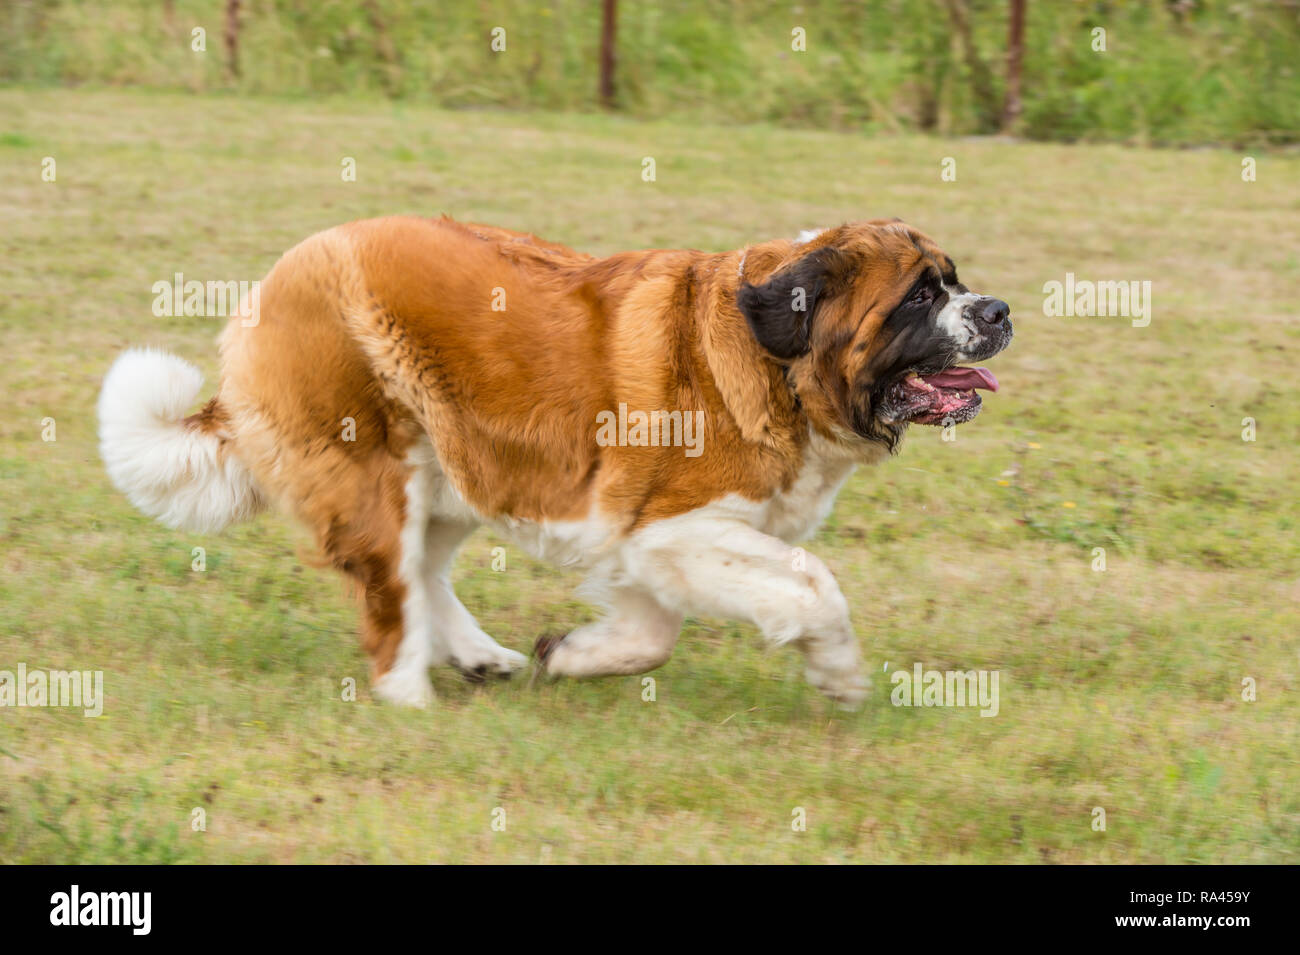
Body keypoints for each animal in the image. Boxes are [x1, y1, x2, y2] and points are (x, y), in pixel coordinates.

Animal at [101, 218, 1013, 712]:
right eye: (921, 295)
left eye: (957, 281)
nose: (1000, 309)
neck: (776, 355)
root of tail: (281, 273)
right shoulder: (672, 529)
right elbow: (813, 584)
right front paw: (841, 674)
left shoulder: (644, 540)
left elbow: (649, 635)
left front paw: (570, 655)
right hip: (375, 463)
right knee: (391, 587)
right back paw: (409, 693)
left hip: (463, 466)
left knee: (423, 567)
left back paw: (479, 655)